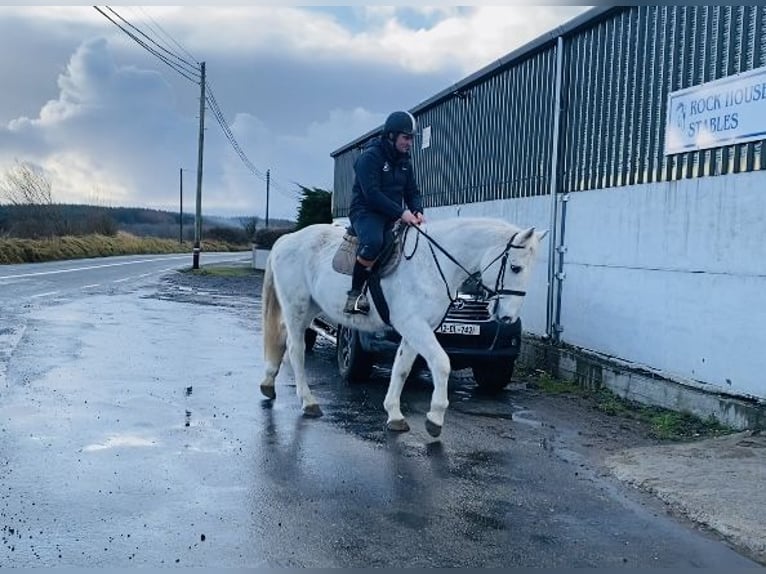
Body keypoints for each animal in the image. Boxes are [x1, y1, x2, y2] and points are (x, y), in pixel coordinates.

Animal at [260, 218, 548, 438]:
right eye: (515, 267)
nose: (507, 317)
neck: (433, 265)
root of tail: (287, 239)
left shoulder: (416, 329)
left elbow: (402, 368)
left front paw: (395, 415)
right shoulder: (414, 325)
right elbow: (442, 363)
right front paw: (435, 418)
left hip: (310, 307)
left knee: (283, 341)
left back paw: (268, 384)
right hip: (296, 307)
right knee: (296, 349)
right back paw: (308, 402)